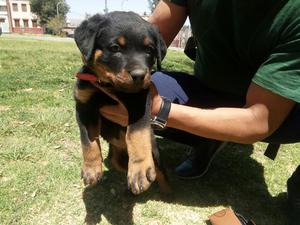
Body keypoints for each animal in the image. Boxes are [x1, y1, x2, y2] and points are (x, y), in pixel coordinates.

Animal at [73, 11, 169, 194]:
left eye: (149, 50)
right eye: (115, 48)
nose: (139, 75)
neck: (109, 86)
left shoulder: (140, 101)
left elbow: (136, 132)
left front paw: (139, 170)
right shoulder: (84, 105)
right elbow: (87, 139)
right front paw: (91, 169)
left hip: (154, 150)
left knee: (160, 172)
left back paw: (165, 191)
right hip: (116, 158)